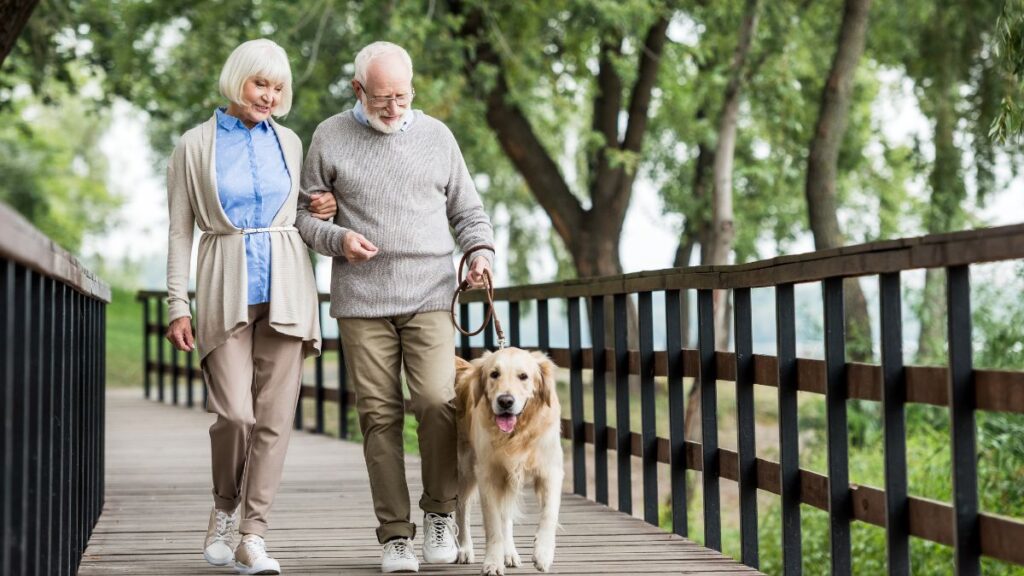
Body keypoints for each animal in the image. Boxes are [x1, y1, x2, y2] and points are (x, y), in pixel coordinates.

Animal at [456, 348, 569, 573]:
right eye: (494, 374)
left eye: (523, 376)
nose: (505, 401)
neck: (516, 435)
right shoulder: (487, 475)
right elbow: (493, 525)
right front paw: (492, 562)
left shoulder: (550, 470)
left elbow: (549, 514)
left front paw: (543, 553)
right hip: (465, 467)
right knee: (462, 508)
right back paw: (465, 549)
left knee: (506, 516)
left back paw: (510, 553)